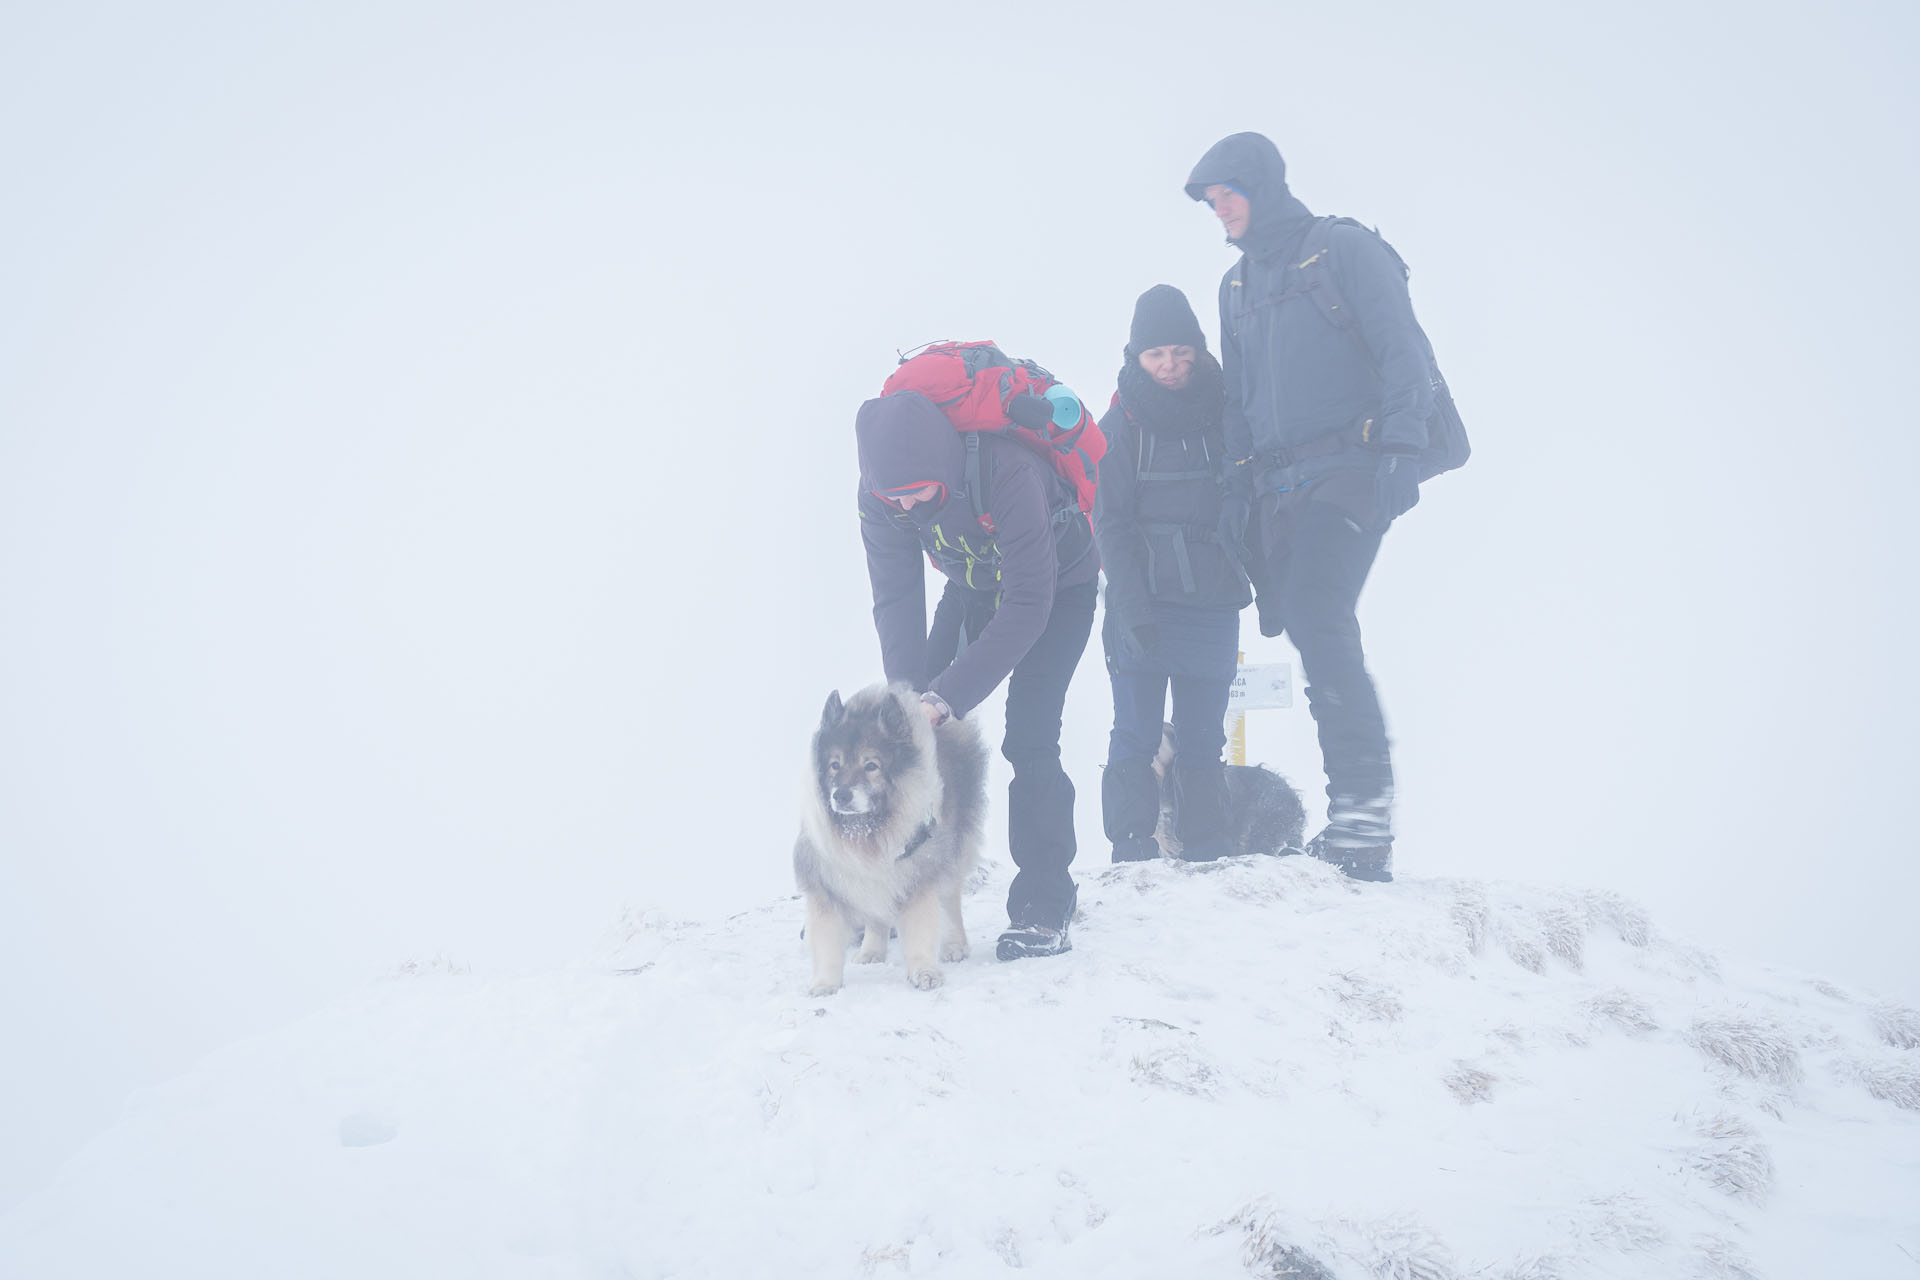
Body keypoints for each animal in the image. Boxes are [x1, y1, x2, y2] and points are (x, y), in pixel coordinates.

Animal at [791, 687, 990, 997]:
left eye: (871, 766)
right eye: (834, 765)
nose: (841, 795)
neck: (866, 831)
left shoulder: (918, 879)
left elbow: (921, 932)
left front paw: (924, 972)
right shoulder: (829, 887)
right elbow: (827, 944)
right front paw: (825, 984)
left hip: (951, 854)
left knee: (949, 902)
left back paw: (955, 944)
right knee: (876, 917)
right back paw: (871, 950)